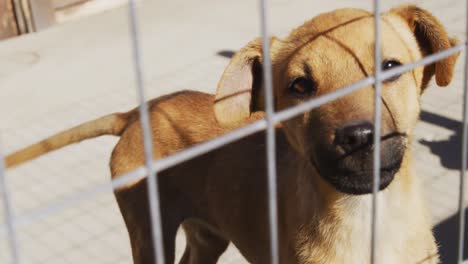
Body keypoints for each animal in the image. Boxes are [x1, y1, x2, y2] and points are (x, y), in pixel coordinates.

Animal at [4, 4, 458, 264]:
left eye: (392, 67)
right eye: (299, 86)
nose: (358, 137)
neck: (368, 217)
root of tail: (137, 113)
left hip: (207, 237)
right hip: (150, 235)